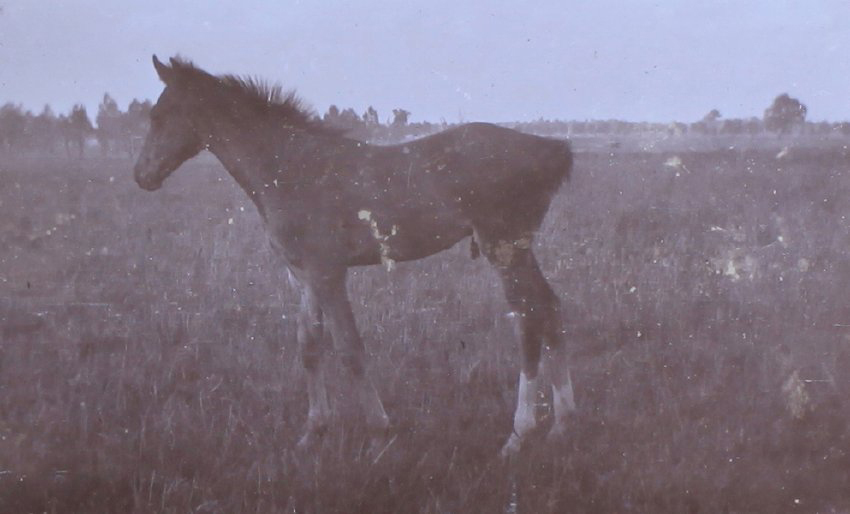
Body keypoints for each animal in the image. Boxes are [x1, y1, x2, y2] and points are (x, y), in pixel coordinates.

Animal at [133, 55, 575, 455]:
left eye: (160, 115)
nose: (141, 176)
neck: (291, 167)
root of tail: (550, 149)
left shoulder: (328, 272)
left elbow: (349, 347)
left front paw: (380, 431)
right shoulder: (304, 274)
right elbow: (309, 345)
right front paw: (313, 432)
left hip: (504, 247)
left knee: (527, 316)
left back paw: (519, 435)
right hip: (518, 249)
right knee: (549, 308)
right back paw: (561, 427)